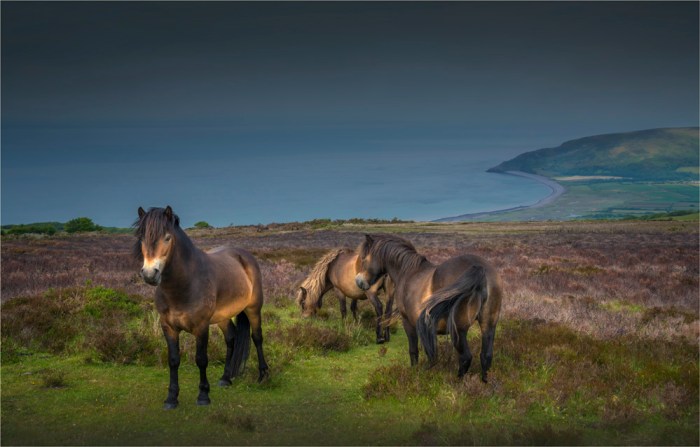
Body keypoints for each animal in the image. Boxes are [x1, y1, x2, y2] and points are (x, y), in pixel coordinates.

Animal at [133, 206, 269, 409]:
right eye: (142, 237)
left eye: (167, 237)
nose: (150, 274)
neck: (184, 285)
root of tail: (244, 255)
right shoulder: (168, 327)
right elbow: (173, 360)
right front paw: (171, 398)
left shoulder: (201, 326)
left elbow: (201, 359)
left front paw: (203, 395)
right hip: (223, 317)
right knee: (231, 338)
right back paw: (226, 378)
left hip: (253, 308)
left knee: (257, 338)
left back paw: (263, 375)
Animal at [354, 234, 503, 382]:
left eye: (364, 258)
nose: (359, 281)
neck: (408, 271)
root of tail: (480, 269)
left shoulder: (408, 322)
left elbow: (413, 351)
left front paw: (415, 373)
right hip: (488, 325)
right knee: (486, 356)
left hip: (459, 330)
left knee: (465, 357)